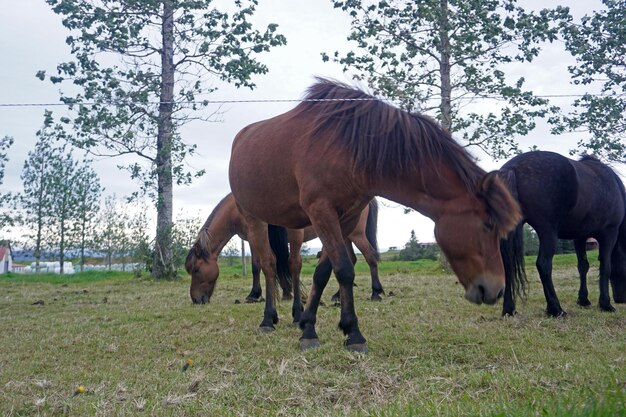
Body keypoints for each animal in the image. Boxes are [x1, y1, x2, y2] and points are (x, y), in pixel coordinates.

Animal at [227, 78, 520, 352]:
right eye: (488, 224)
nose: (496, 290)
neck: (349, 148)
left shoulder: (345, 218)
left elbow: (324, 272)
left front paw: (310, 326)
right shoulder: (322, 212)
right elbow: (344, 270)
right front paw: (353, 333)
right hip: (253, 218)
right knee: (268, 265)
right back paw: (268, 319)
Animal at [498, 150, 624, 316]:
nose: (621, 299)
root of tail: (513, 167)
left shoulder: (580, 237)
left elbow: (583, 266)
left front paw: (583, 300)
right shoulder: (609, 233)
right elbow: (605, 265)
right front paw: (605, 304)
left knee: (508, 266)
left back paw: (509, 309)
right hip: (548, 232)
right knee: (543, 265)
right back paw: (556, 309)